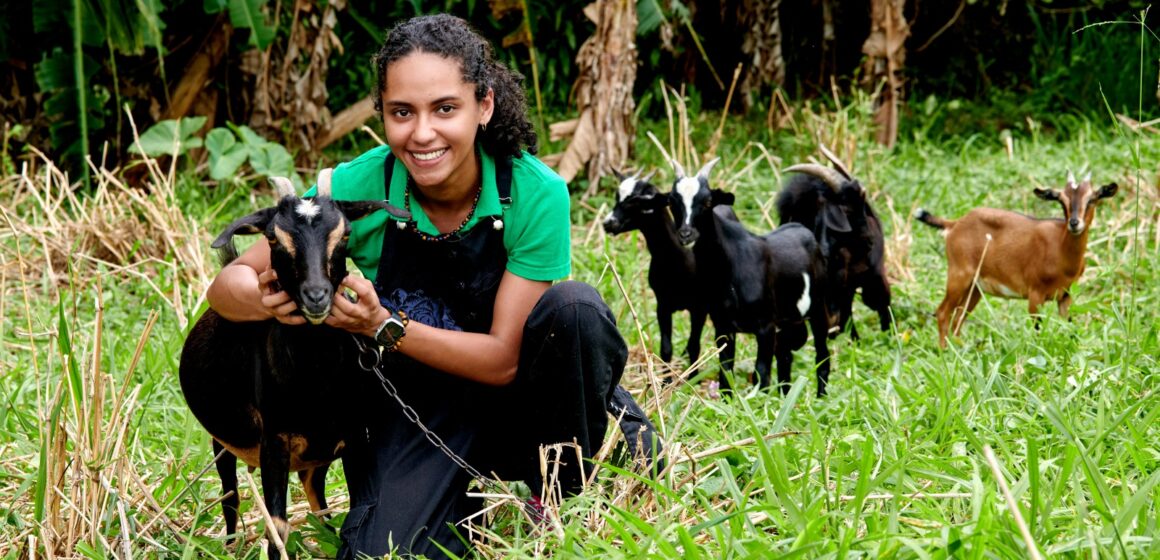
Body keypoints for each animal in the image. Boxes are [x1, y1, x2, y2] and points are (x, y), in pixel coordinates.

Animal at [180, 170, 412, 556]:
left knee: (316, 498)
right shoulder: (275, 440)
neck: (317, 379)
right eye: (273, 237)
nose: (316, 296)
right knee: (230, 496)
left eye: (345, 234)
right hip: (222, 440)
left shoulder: (354, 434)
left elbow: (358, 512)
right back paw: (230, 544)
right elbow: (277, 527)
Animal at [663, 156, 835, 394]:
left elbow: (761, 372)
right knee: (785, 355)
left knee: (822, 356)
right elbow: (726, 371)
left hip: (818, 308)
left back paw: (820, 396)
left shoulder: (765, 326)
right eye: (672, 202)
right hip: (790, 319)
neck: (730, 267)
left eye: (707, 201)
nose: (686, 234)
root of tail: (804, 230)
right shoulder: (723, 326)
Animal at [918, 171, 1118, 345]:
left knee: (958, 318)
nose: (1074, 223)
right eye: (1061, 201)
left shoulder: (1065, 295)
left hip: (974, 288)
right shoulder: (1035, 294)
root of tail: (955, 224)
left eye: (1092, 199)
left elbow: (1069, 327)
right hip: (959, 276)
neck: (1061, 250)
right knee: (943, 313)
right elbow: (1038, 330)